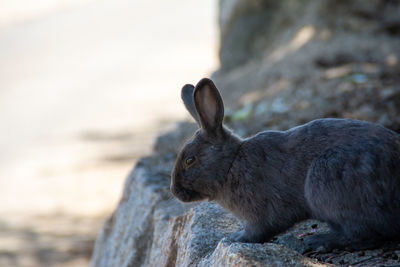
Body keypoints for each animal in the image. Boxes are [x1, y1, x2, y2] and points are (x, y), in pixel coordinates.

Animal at [169, 78, 400, 253]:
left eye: (190, 160)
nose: (175, 192)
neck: (231, 163)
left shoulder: (261, 214)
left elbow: (258, 230)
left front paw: (235, 238)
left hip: (328, 180)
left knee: (363, 234)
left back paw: (319, 241)